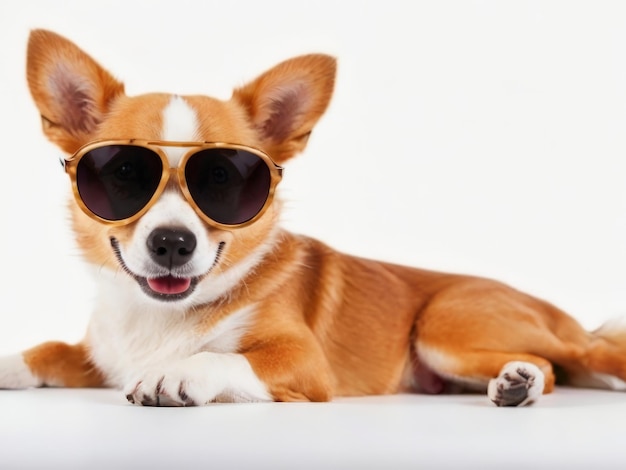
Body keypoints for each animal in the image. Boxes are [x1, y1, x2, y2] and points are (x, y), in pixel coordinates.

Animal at [1, 27, 624, 406]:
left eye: (223, 181)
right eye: (125, 175)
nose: (172, 243)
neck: (160, 318)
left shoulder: (303, 361)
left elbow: (223, 358)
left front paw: (179, 370)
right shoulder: (96, 356)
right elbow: (47, 350)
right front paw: (7, 362)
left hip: (445, 328)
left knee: (574, 357)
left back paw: (532, 379)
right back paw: (516, 382)